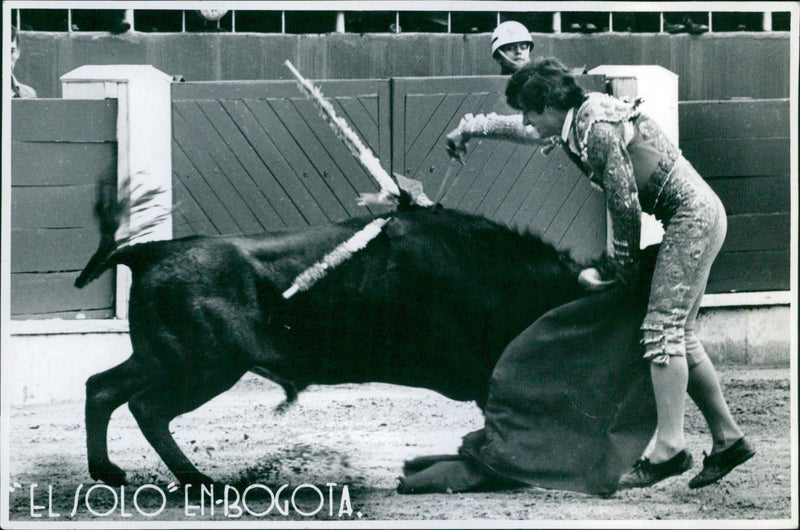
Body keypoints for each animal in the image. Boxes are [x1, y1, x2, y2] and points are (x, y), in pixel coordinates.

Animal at [75, 188, 656, 488]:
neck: (494, 272)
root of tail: (152, 251)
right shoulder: (480, 371)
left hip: (162, 356)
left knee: (102, 389)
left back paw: (109, 472)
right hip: (203, 366)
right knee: (148, 407)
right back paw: (199, 483)